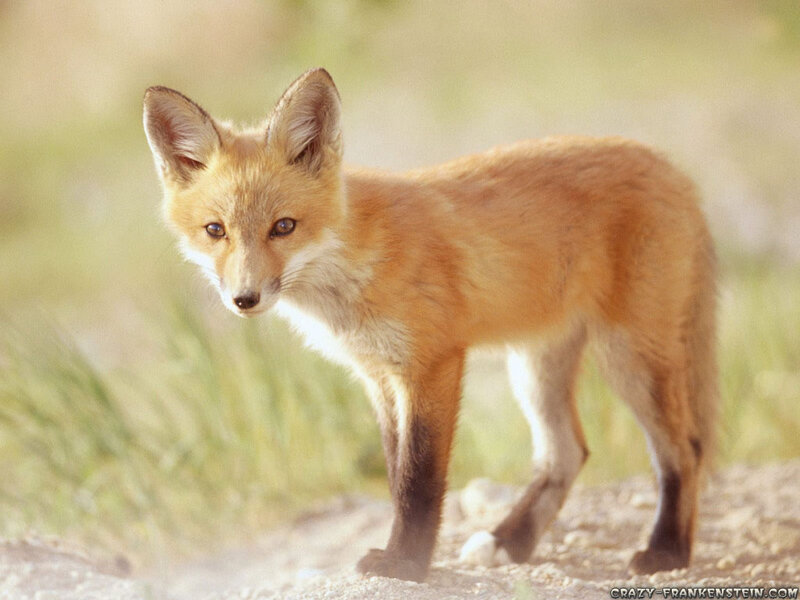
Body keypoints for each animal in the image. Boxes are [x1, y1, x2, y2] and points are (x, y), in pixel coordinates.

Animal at [143, 68, 717, 582]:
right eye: (215, 230)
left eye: (283, 227)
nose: (245, 298)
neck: (353, 264)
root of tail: (672, 166)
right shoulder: (378, 376)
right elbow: (396, 474)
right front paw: (408, 557)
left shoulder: (433, 363)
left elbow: (419, 480)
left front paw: (406, 566)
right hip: (535, 366)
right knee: (567, 454)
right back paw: (510, 542)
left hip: (631, 357)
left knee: (684, 450)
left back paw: (666, 551)